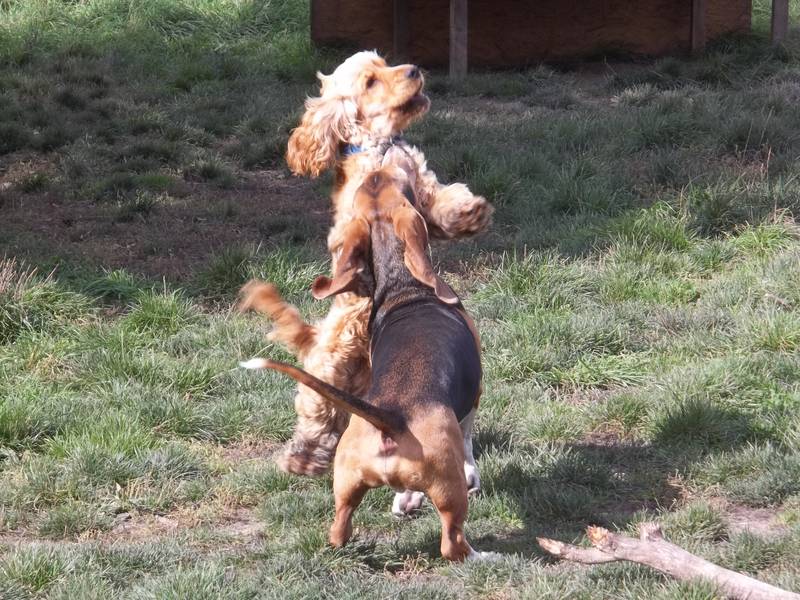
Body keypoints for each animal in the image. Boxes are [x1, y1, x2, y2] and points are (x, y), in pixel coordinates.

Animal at [241, 165, 489, 561]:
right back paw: (483, 555)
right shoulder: (475, 394)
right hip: (448, 493)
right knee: (452, 541)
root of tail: (391, 418)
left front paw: (406, 501)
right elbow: (468, 437)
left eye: (374, 185)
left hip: (346, 482)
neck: (405, 288)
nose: (376, 167)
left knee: (338, 528)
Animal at [273, 50, 493, 480]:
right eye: (371, 81)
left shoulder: (420, 188)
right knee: (318, 413)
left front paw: (470, 211)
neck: (379, 145)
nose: (414, 69)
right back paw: (303, 457)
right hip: (329, 365)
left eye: (386, 62)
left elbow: (441, 201)